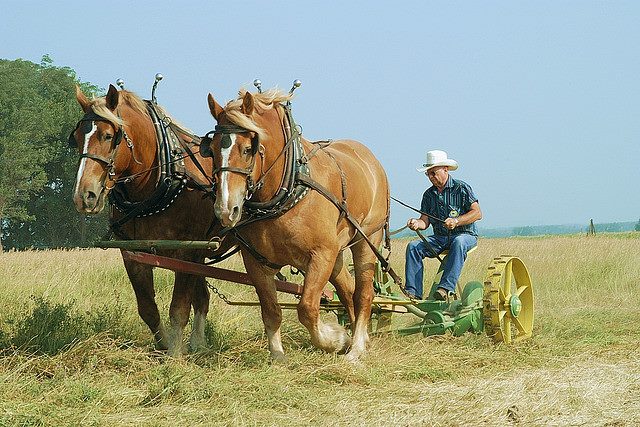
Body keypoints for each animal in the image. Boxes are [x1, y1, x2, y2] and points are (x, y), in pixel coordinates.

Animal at [69, 84, 224, 358]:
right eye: (76, 137)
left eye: (108, 136)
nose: (84, 195)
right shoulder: (133, 252)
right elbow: (148, 309)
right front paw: (163, 345)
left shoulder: (187, 252)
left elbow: (179, 308)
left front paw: (175, 354)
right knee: (203, 298)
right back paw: (198, 344)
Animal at [205, 88, 390, 362]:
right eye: (212, 149)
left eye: (248, 149)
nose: (226, 210)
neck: (289, 189)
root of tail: (370, 160)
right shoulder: (257, 262)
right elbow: (271, 310)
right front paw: (277, 355)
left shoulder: (321, 255)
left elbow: (307, 308)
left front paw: (334, 339)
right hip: (337, 253)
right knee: (348, 290)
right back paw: (360, 337)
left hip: (367, 240)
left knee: (364, 293)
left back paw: (355, 348)